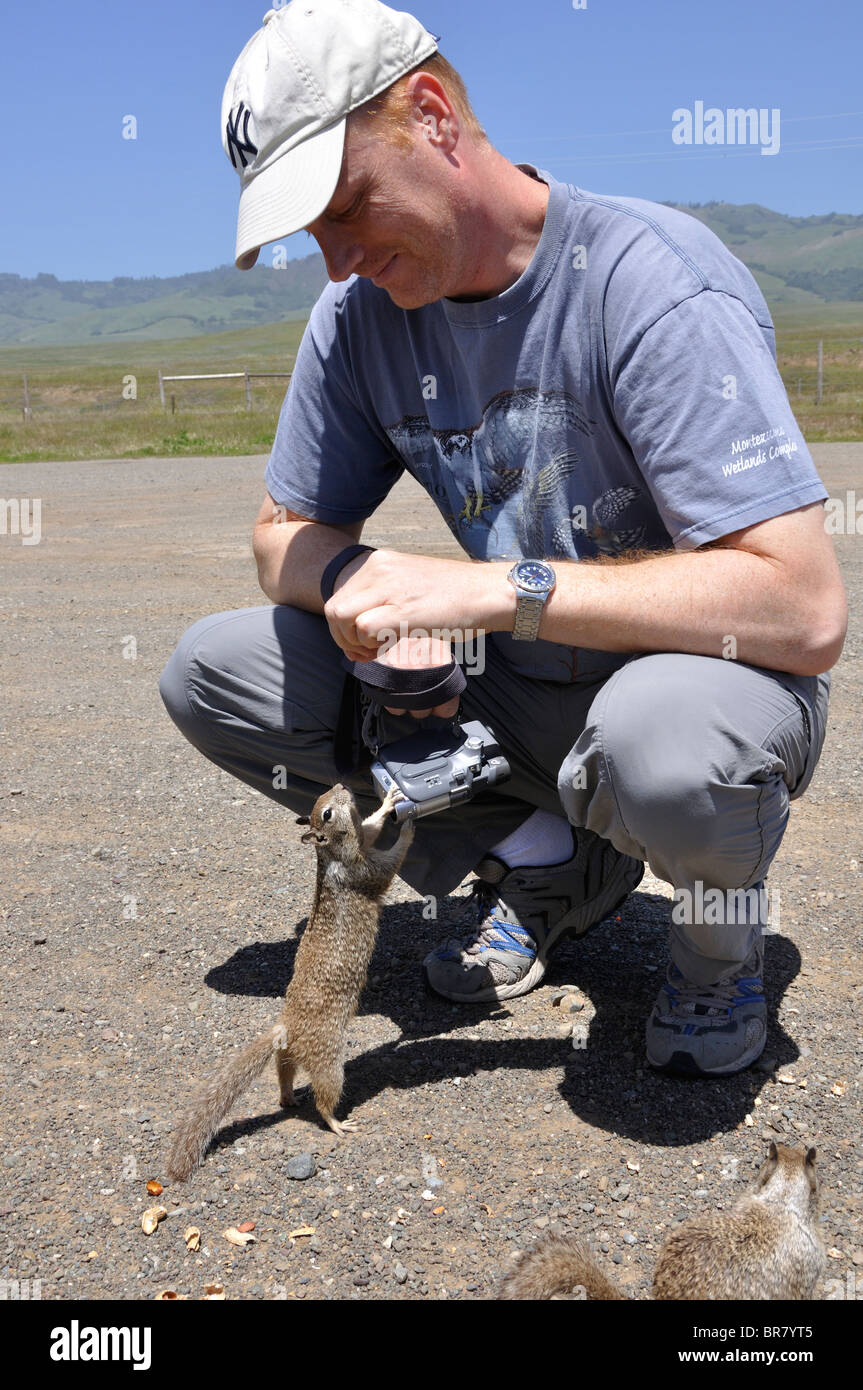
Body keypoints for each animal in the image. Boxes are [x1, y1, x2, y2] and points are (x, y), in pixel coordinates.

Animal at [165, 783, 413, 1181]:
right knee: (324, 1098)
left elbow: (373, 826)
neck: (332, 853)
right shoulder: (364, 869)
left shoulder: (363, 840)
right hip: (329, 1061)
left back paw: (287, 1096)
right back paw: (336, 1123)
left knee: (283, 1071)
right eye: (326, 812)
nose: (343, 785)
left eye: (328, 793)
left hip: (290, 1055)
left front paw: (389, 803)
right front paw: (408, 828)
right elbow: (391, 862)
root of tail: (286, 1026)